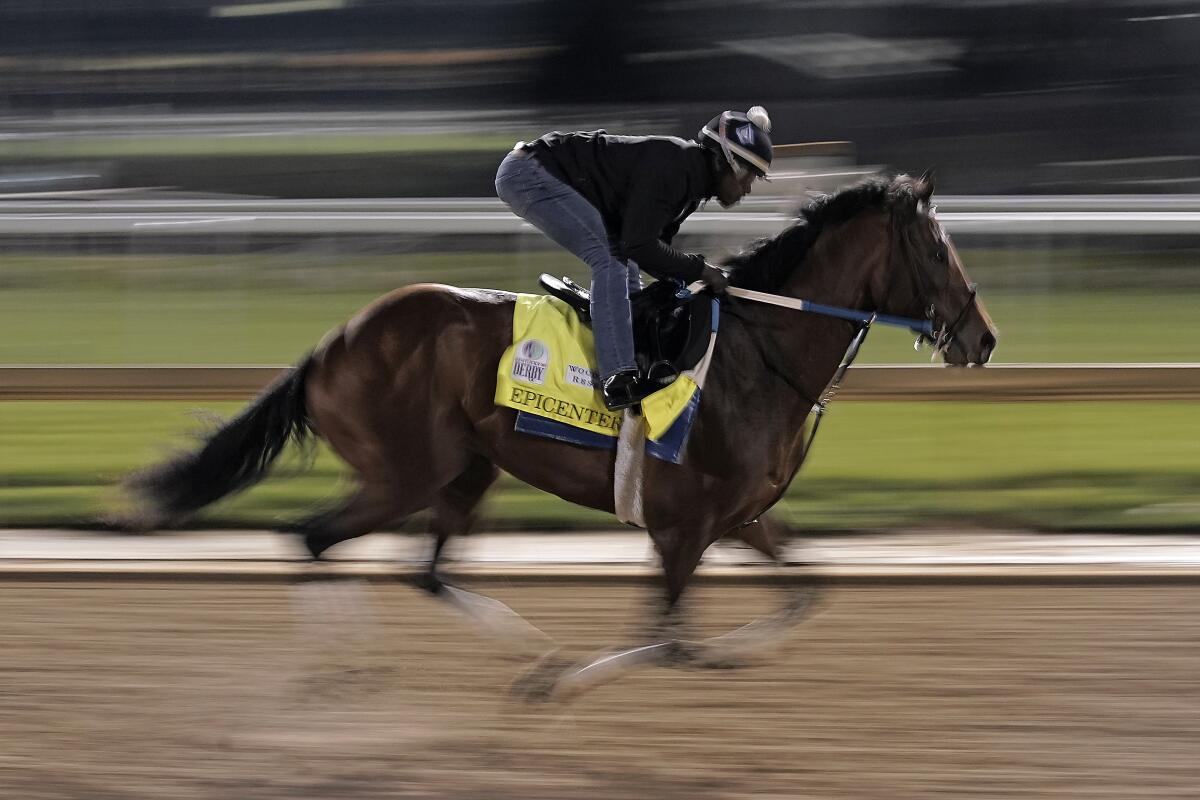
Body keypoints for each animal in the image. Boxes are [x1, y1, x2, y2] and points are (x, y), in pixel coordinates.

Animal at [129, 172, 993, 695]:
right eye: (938, 248)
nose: (982, 338)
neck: (758, 351)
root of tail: (332, 343)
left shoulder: (739, 517)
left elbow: (802, 596)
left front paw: (713, 660)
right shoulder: (684, 530)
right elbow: (665, 637)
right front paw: (567, 687)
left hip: (466, 469)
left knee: (423, 571)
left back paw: (513, 652)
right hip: (405, 473)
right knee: (311, 538)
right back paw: (353, 668)